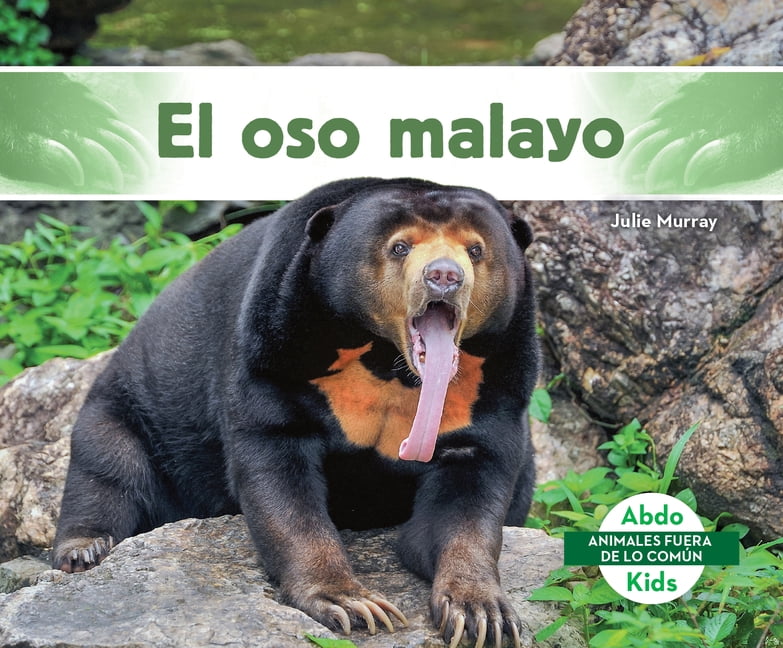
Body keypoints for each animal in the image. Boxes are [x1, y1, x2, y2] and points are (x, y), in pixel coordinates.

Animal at [52, 177, 540, 648]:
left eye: (475, 250)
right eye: (400, 247)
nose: (444, 276)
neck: (387, 363)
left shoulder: (492, 387)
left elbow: (469, 496)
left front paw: (481, 614)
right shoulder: (274, 349)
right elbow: (279, 476)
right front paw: (353, 604)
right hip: (126, 409)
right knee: (108, 467)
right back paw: (84, 549)